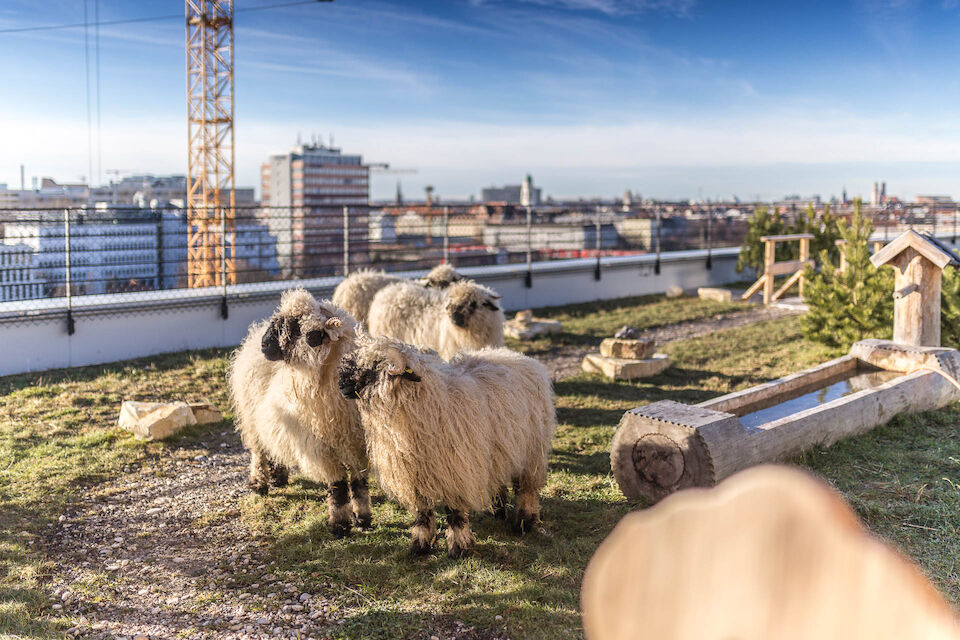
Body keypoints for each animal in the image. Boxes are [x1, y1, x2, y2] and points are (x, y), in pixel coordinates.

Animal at [229, 288, 372, 536]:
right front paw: (339, 525)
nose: (265, 345)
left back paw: (279, 477)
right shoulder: (322, 449)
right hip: (251, 414)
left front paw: (362, 518)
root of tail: (254, 332)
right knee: (258, 450)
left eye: (294, 328)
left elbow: (359, 482)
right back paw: (259, 483)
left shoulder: (357, 442)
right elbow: (338, 486)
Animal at [338, 332, 556, 556]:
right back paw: (497, 511)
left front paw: (459, 547)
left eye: (373, 366)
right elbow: (423, 512)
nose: (340, 383)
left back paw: (525, 523)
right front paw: (421, 545)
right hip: (500, 449)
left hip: (532, 453)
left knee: (526, 490)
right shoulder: (414, 475)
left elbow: (455, 512)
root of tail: (517, 355)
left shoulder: (455, 471)